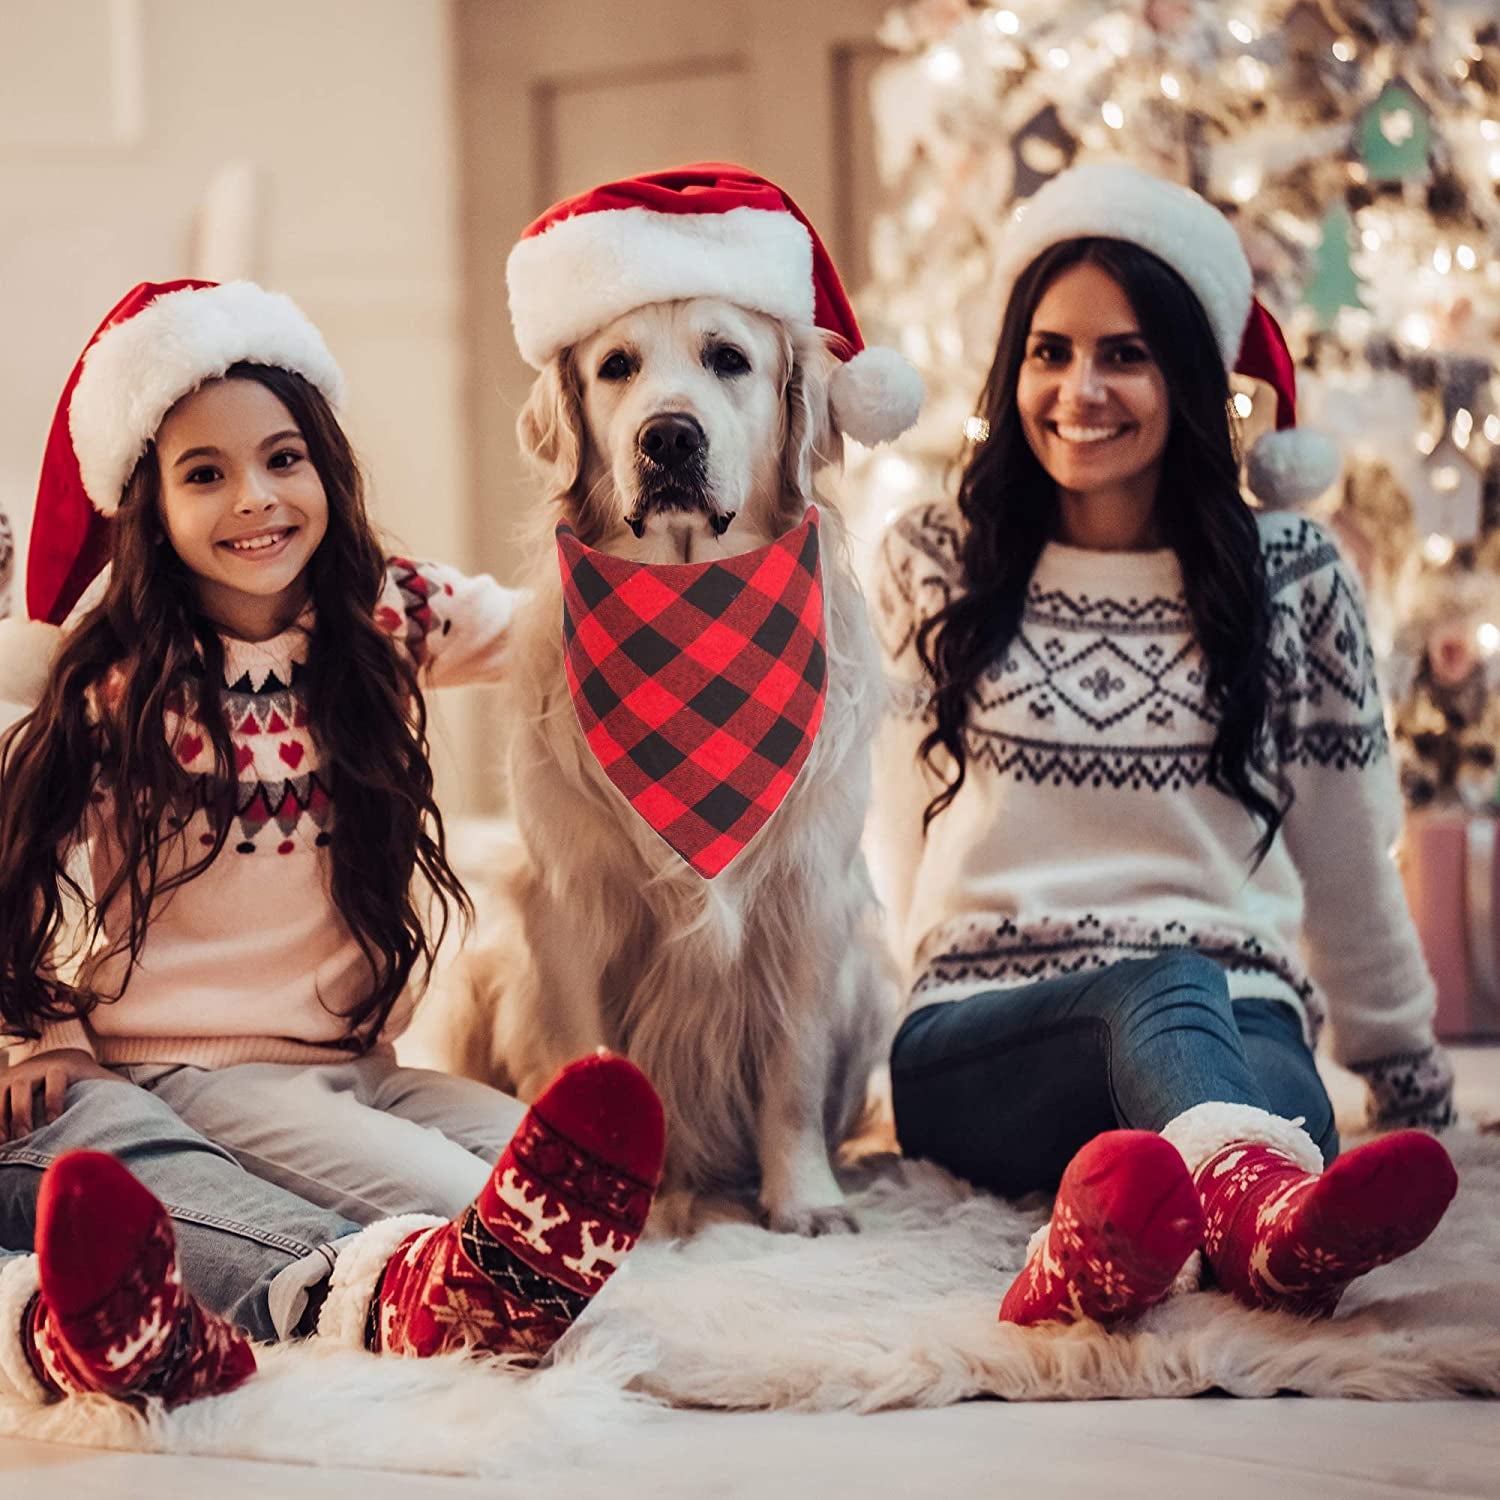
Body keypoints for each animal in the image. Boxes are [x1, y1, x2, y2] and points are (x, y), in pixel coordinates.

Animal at [438, 298, 900, 1236]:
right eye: (616, 365)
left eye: (729, 358)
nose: (670, 439)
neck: (691, 619)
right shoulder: (569, 903)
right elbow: (585, 1058)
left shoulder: (809, 899)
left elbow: (794, 1074)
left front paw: (805, 1199)